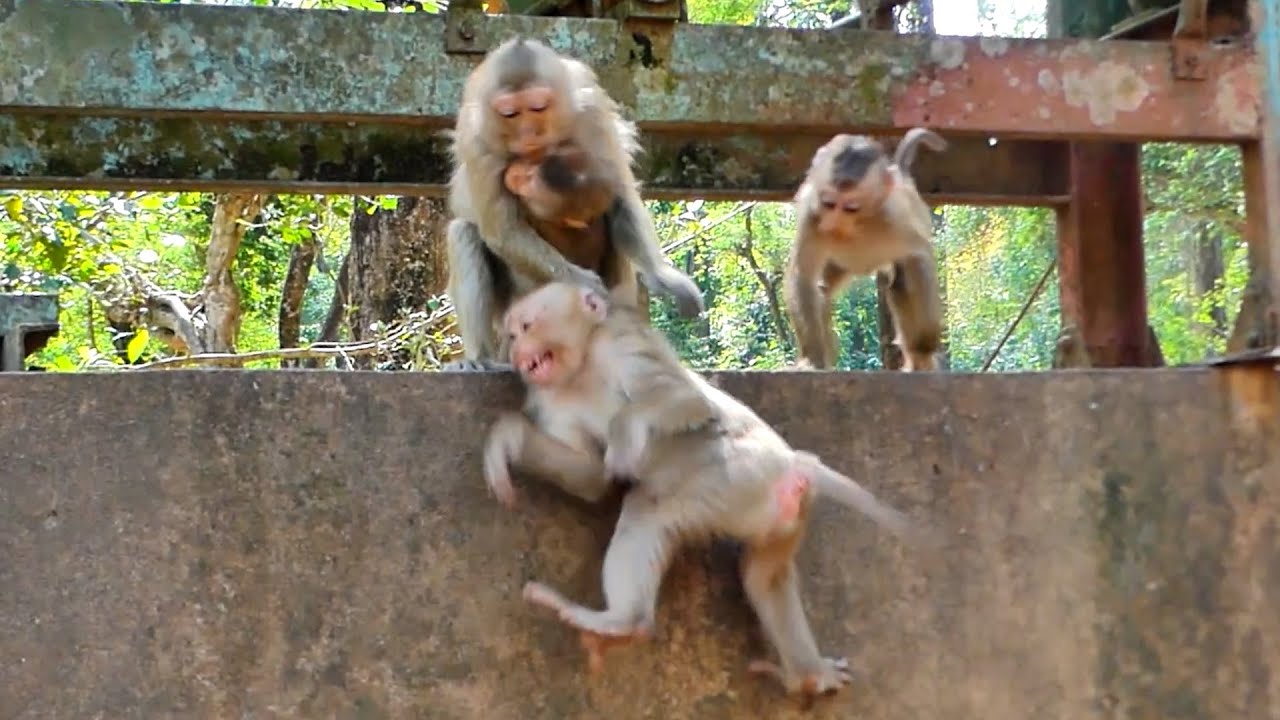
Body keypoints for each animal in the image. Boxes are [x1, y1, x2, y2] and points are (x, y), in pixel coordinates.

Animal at [444, 37, 705, 372]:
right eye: (510, 113)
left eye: (538, 107)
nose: (529, 134)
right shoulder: (476, 141)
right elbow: (501, 230)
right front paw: (585, 284)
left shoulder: (592, 113)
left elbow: (620, 195)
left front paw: (663, 277)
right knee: (464, 233)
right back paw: (480, 359)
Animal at [483, 282, 925, 700]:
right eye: (512, 333)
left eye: (525, 326)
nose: (516, 350)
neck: (580, 369)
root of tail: (794, 463)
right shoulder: (548, 399)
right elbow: (591, 478)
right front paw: (510, 438)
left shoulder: (619, 338)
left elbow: (689, 402)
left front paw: (624, 436)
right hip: (780, 512)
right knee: (764, 575)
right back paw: (808, 677)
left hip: (734, 476)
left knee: (650, 508)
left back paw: (620, 623)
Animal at [784, 127, 948, 372]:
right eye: (828, 203)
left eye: (851, 207)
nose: (833, 224)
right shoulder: (811, 216)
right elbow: (804, 277)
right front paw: (812, 360)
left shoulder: (894, 221)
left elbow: (920, 254)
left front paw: (924, 346)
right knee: (822, 290)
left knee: (901, 282)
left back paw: (918, 358)